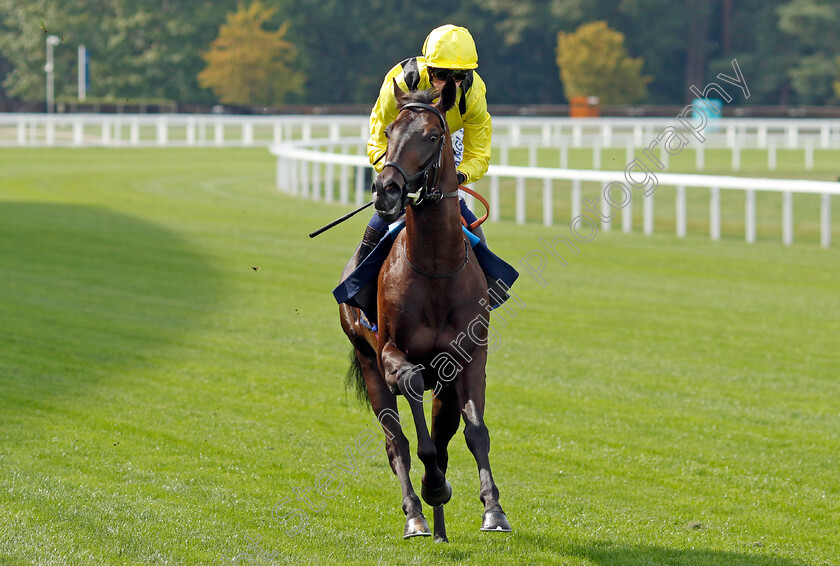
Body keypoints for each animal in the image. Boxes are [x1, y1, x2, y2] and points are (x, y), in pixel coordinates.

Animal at [336, 77, 508, 544]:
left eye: (433, 137)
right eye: (389, 131)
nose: (386, 189)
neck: (435, 270)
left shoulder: (469, 357)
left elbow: (474, 430)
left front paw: (493, 509)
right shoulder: (392, 354)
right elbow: (415, 417)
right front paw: (433, 489)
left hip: (444, 381)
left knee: (444, 433)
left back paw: (442, 526)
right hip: (367, 359)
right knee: (396, 441)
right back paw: (417, 513)